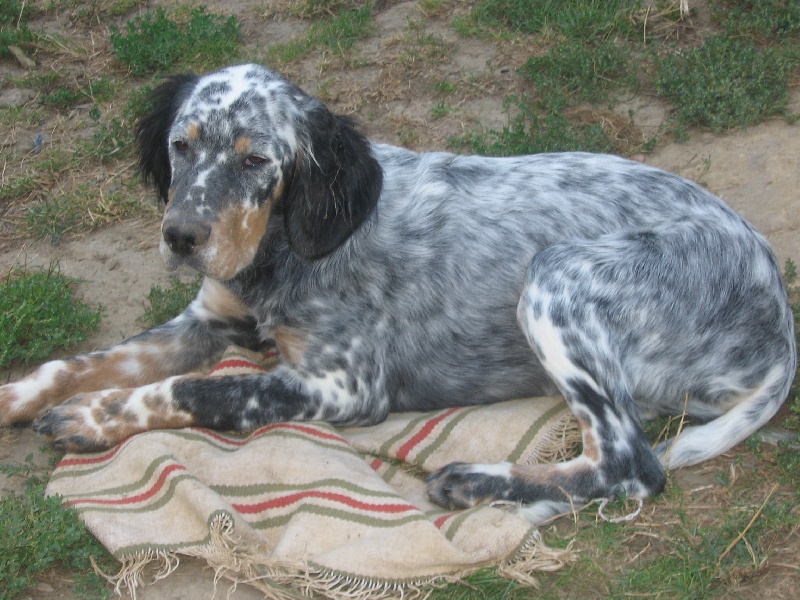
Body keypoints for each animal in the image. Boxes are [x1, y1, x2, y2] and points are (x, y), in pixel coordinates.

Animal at [3, 65, 796, 524]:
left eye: (256, 161)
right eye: (181, 145)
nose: (180, 236)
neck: (282, 254)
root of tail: (779, 313)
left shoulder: (346, 387)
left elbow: (200, 391)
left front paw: (96, 418)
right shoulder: (208, 319)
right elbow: (79, 364)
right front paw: (26, 396)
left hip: (557, 274)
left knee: (633, 467)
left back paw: (480, 483)